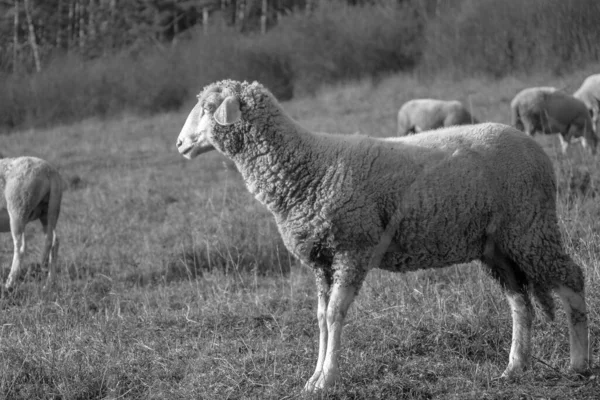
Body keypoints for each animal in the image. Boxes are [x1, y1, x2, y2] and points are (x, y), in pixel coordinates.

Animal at [1, 156, 63, 290]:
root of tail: (49, 171)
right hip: (48, 210)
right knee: (54, 240)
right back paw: (49, 283)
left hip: (18, 207)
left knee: (20, 248)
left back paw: (9, 284)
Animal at [177, 79, 592, 392]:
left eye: (208, 107)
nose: (179, 145)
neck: (307, 166)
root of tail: (534, 147)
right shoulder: (322, 259)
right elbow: (320, 317)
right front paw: (314, 376)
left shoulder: (351, 249)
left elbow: (334, 315)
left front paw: (328, 378)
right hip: (500, 246)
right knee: (520, 302)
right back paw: (514, 367)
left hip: (530, 226)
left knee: (572, 278)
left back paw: (579, 363)